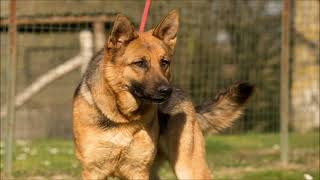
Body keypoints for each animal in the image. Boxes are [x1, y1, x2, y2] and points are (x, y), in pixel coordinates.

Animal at [73, 10, 255, 180]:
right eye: (140, 63)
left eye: (164, 62)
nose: (167, 91)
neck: (122, 117)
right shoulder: (94, 171)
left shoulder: (138, 171)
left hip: (189, 168)